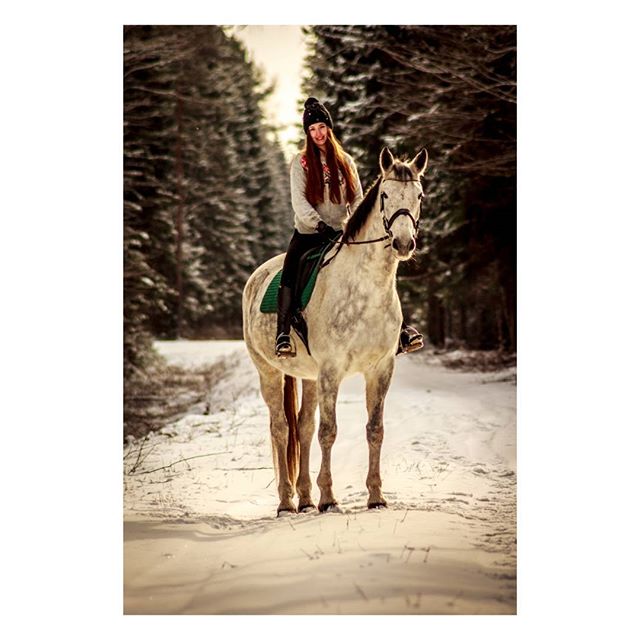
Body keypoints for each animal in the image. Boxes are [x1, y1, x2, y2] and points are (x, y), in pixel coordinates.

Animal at [242, 146, 428, 515]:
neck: (366, 288)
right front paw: (329, 498)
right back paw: (286, 502)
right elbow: (329, 431)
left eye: (419, 196)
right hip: (269, 371)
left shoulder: (380, 368)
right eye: (385, 195)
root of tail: (257, 276)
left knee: (302, 426)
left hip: (309, 377)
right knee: (281, 428)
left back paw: (304, 500)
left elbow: (374, 430)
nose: (403, 243)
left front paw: (376, 496)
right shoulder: (332, 370)